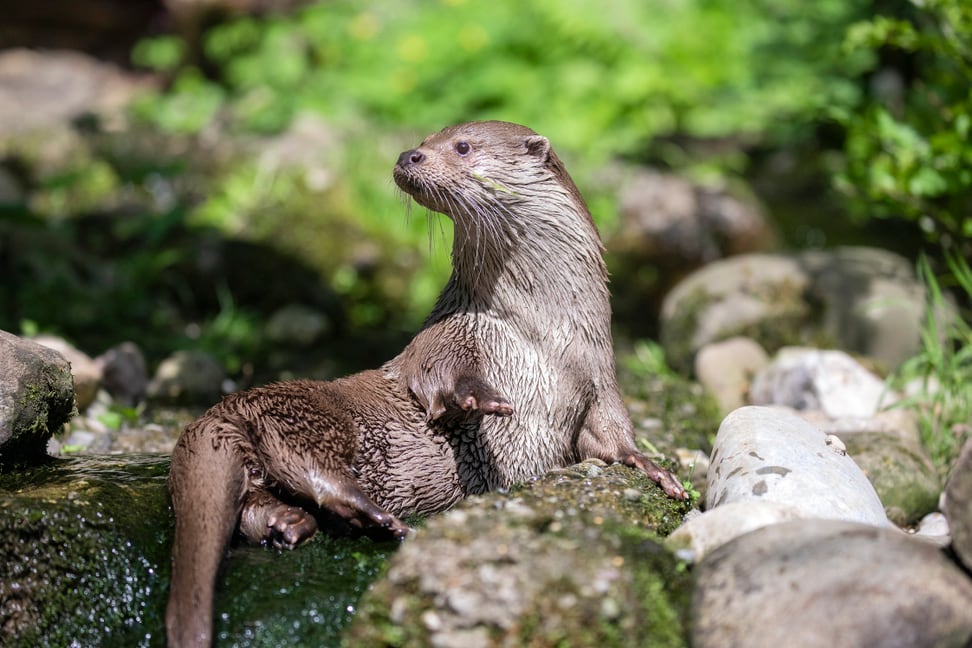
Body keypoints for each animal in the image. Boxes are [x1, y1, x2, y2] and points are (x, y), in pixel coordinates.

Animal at [165, 120, 684, 644]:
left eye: (462, 145)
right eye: (426, 139)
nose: (408, 155)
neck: (543, 335)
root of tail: (218, 415)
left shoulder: (599, 376)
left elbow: (611, 433)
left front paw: (653, 468)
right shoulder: (458, 333)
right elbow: (433, 371)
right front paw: (480, 397)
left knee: (256, 503)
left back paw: (290, 524)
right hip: (312, 416)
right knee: (314, 468)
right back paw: (379, 518)